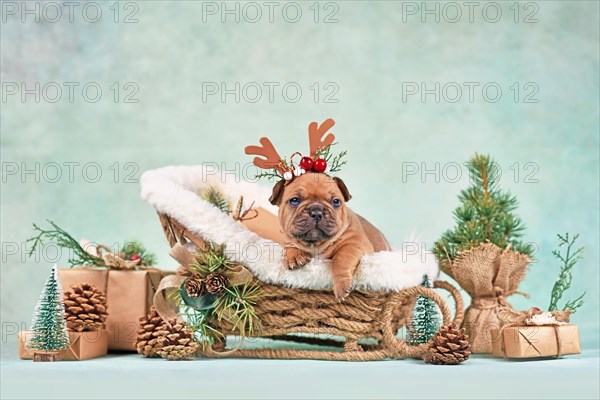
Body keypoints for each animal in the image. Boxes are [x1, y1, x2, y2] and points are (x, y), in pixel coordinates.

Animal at [270, 172, 392, 300]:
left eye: (336, 202)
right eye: (294, 200)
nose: (317, 212)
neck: (315, 245)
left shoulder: (355, 242)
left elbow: (340, 258)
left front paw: (341, 285)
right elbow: (290, 243)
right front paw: (295, 256)